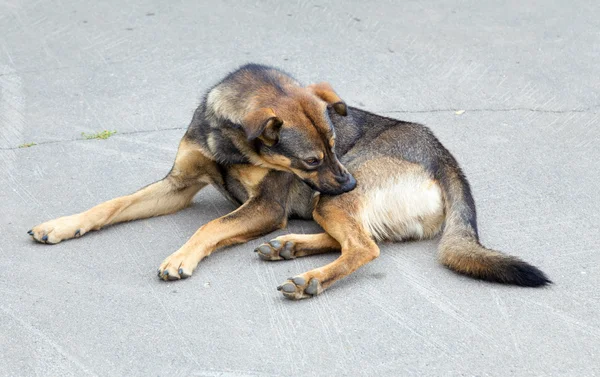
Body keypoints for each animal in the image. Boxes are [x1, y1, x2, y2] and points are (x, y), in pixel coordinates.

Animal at [30, 64, 552, 300]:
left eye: (336, 144)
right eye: (312, 158)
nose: (348, 182)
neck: (231, 144)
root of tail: (446, 158)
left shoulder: (265, 207)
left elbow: (209, 227)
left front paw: (181, 258)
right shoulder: (177, 184)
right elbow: (111, 204)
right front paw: (62, 224)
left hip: (330, 204)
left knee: (364, 247)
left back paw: (309, 278)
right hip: (329, 204)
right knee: (356, 239)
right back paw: (290, 248)